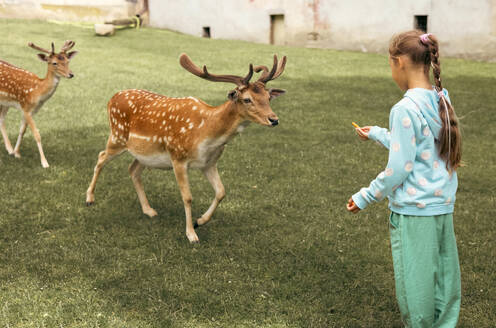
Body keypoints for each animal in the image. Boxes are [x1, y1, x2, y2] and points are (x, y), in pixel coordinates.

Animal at [87, 53, 284, 242]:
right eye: (247, 99)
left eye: (268, 98)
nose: (274, 119)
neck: (206, 133)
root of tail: (112, 98)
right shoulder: (178, 158)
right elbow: (188, 197)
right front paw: (191, 234)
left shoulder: (209, 163)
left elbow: (221, 192)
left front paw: (200, 221)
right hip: (117, 137)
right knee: (101, 157)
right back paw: (89, 198)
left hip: (144, 153)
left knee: (132, 169)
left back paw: (148, 210)